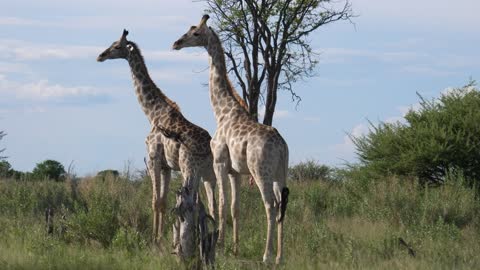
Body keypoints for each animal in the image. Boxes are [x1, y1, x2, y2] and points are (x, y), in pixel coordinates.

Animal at [96, 29, 217, 247]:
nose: (100, 55)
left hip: (189, 169)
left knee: (196, 203)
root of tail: (208, 149)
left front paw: (154, 240)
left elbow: (154, 201)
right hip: (208, 173)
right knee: (214, 205)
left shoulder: (153, 159)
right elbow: (162, 201)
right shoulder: (166, 166)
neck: (152, 113)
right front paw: (160, 237)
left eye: (116, 46)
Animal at [174, 15, 290, 264]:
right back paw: (279, 256)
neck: (222, 111)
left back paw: (266, 256)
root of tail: (282, 146)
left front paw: (219, 243)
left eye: (195, 33)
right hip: (280, 173)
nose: (176, 43)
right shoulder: (235, 171)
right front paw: (235, 248)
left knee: (270, 205)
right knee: (282, 205)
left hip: (261, 171)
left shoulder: (220, 163)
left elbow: (221, 204)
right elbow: (236, 207)